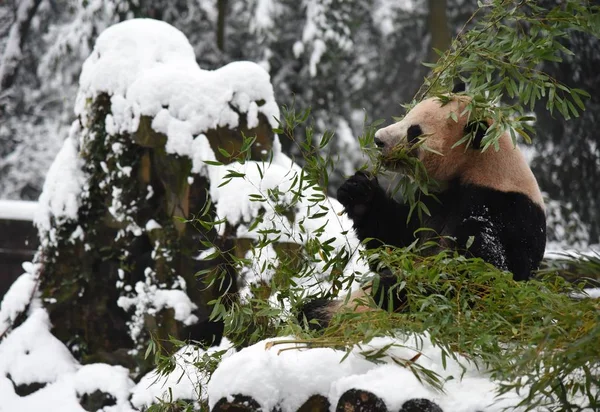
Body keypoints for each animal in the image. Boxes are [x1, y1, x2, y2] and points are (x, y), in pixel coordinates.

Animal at [302, 88, 548, 326]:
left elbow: (480, 277)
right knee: (311, 311)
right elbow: (396, 242)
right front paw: (358, 191)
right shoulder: (431, 202)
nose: (379, 140)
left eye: (414, 131)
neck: (478, 167)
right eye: (406, 115)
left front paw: (392, 287)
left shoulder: (504, 210)